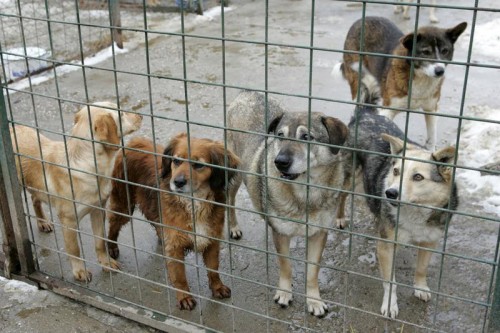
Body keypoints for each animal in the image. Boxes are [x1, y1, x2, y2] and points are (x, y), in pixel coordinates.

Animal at [10, 101, 143, 280]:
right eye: (121, 114)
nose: (141, 116)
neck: (90, 164)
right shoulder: (69, 221)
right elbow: (74, 249)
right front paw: (79, 271)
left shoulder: (97, 210)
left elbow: (100, 241)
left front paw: (106, 262)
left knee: (35, 200)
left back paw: (42, 222)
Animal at [106, 132, 239, 308]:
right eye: (176, 161)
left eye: (198, 165)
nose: (178, 182)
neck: (194, 203)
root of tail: (134, 141)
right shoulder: (175, 246)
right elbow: (179, 275)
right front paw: (184, 297)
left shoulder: (212, 240)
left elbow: (213, 269)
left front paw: (217, 287)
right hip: (123, 205)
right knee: (113, 225)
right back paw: (111, 247)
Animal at [228, 91, 348, 316]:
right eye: (280, 135)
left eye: (306, 137)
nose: (280, 162)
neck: (304, 195)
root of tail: (248, 93)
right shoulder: (282, 234)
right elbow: (286, 265)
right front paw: (284, 293)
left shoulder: (319, 234)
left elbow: (312, 271)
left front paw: (314, 300)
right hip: (234, 175)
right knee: (229, 202)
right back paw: (233, 227)